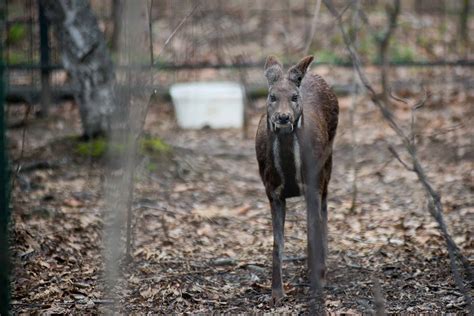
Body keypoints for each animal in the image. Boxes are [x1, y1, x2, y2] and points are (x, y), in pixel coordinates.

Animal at [256, 55, 336, 304]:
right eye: (272, 96)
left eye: (294, 96)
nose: (283, 117)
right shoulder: (272, 192)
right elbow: (277, 242)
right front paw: (276, 293)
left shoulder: (313, 186)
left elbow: (312, 231)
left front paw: (317, 281)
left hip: (327, 164)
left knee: (324, 212)